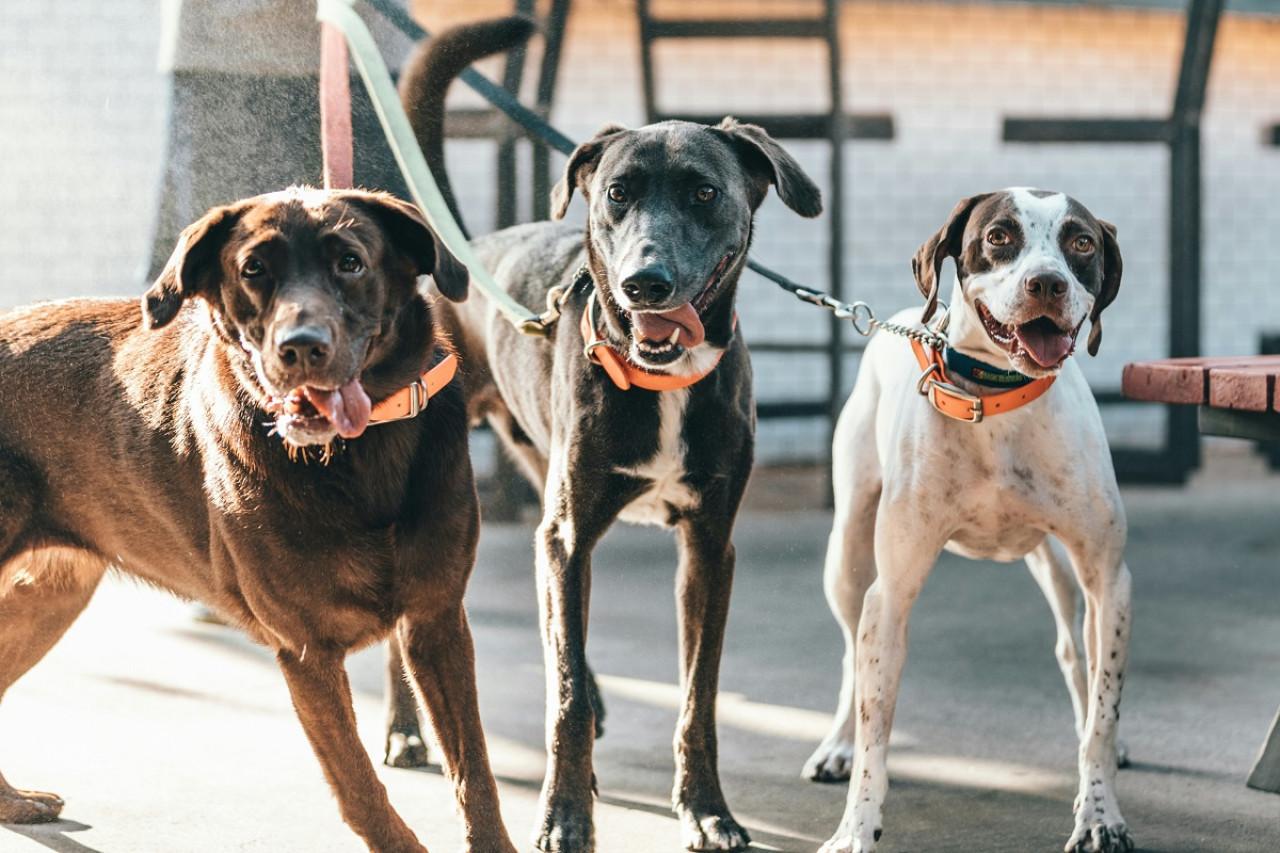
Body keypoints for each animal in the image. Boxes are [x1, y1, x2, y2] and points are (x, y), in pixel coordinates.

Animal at [5, 188, 517, 850]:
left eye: (350, 262)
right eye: (253, 270)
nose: (301, 347)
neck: (355, 458)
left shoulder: (437, 623)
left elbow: (474, 771)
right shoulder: (307, 652)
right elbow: (361, 790)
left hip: (48, 597)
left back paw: (12, 802)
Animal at [394, 18, 824, 850]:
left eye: (705, 191)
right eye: (617, 194)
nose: (644, 283)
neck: (663, 379)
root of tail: (461, 262)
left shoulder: (707, 546)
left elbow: (697, 697)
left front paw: (707, 808)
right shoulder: (567, 536)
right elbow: (558, 695)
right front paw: (564, 814)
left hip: (546, 482)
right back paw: (404, 729)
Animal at [808, 188, 1131, 850]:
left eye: (1082, 242)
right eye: (999, 236)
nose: (1046, 283)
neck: (997, 399)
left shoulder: (1110, 581)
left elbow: (1103, 711)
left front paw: (1099, 812)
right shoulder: (891, 594)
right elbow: (877, 728)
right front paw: (855, 827)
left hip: (1058, 568)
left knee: (1074, 651)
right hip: (847, 557)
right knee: (851, 654)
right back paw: (838, 745)